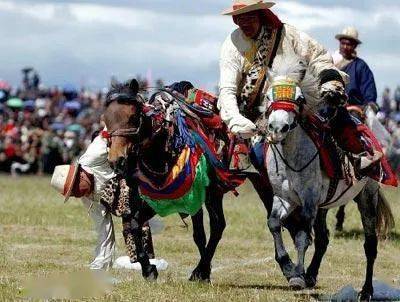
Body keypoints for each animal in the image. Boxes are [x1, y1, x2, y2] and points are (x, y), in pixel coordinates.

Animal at [101, 78, 274, 280]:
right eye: (106, 120)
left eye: (133, 117)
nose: (116, 161)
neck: (164, 147)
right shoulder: (161, 198)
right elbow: (135, 223)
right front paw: (148, 269)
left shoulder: (194, 197)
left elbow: (199, 235)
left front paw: (202, 272)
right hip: (216, 193)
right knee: (219, 225)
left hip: (257, 183)